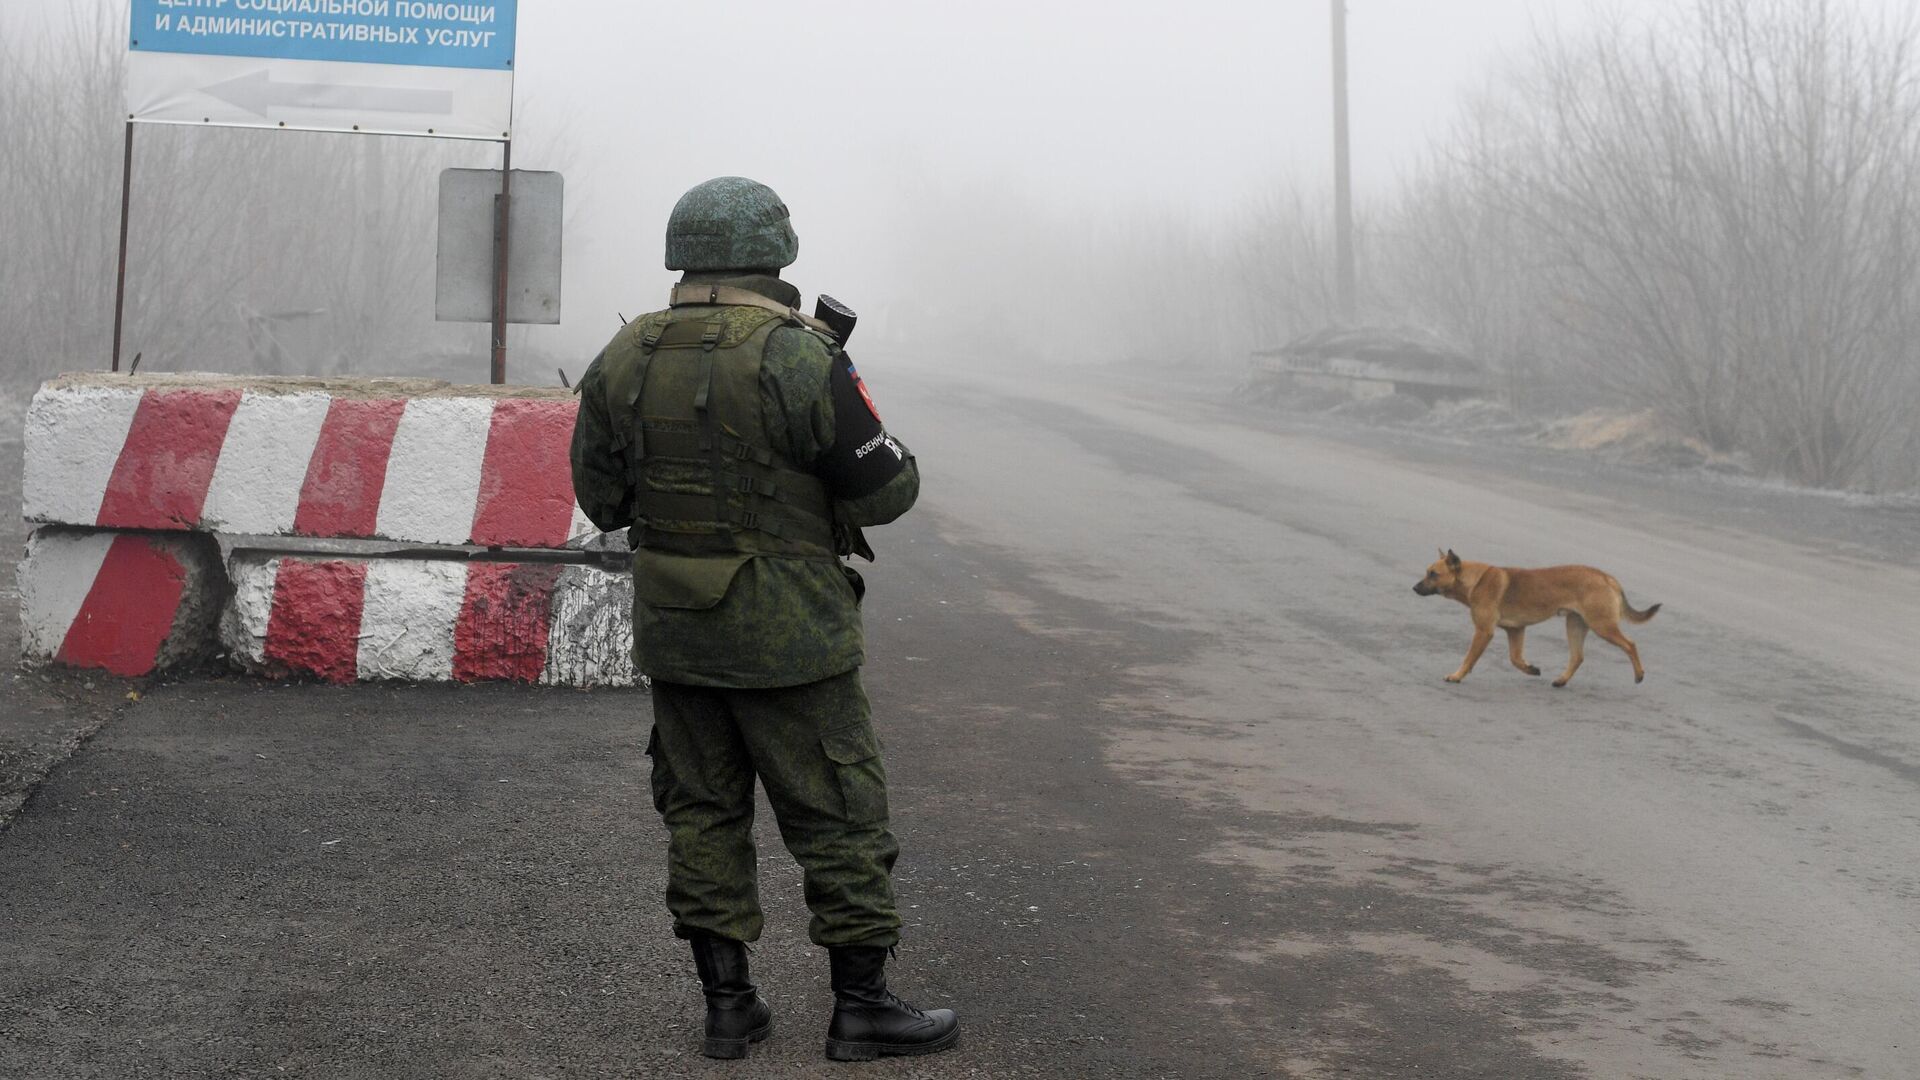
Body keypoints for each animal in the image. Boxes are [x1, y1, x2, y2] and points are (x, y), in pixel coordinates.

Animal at [1413, 549, 1666, 684]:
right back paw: (1561, 681)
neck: (1476, 579)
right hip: (1575, 625)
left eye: (1433, 574)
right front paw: (1530, 669)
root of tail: (1607, 577)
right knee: (1578, 657)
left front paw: (1457, 676)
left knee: (1630, 644)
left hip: (1602, 626)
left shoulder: (1483, 632)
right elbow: (1515, 659)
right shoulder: (1516, 630)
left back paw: (1639, 674)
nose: (1414, 588)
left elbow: (1469, 659)